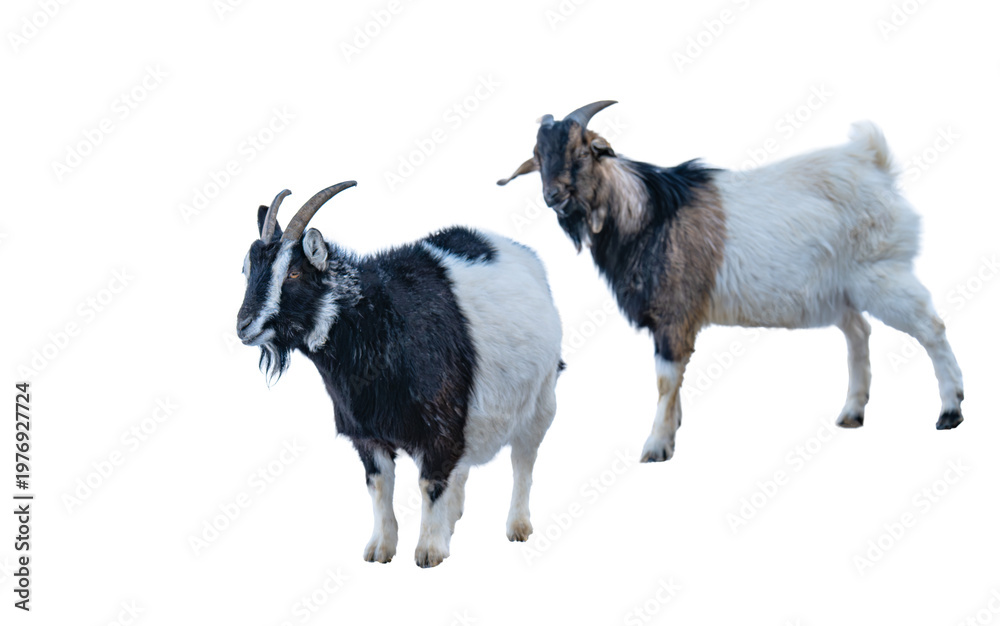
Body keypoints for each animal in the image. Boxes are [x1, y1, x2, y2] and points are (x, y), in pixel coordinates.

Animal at [236, 181, 563, 566]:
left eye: (294, 273)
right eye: (246, 270)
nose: (244, 326)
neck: (376, 322)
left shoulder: (440, 423)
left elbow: (429, 484)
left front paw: (429, 551)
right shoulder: (366, 432)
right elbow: (379, 486)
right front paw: (381, 548)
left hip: (542, 397)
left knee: (523, 460)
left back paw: (517, 526)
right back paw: (454, 517)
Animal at [499, 100, 964, 462]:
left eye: (582, 152)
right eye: (538, 156)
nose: (554, 196)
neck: (648, 212)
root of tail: (872, 161)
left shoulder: (674, 314)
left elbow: (665, 379)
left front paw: (656, 445)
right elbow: (675, 382)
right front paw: (673, 429)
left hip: (881, 271)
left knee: (931, 326)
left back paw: (950, 410)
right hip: (837, 290)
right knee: (858, 332)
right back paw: (852, 413)